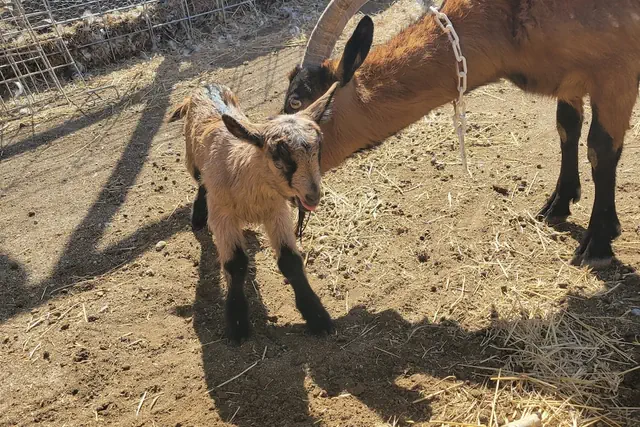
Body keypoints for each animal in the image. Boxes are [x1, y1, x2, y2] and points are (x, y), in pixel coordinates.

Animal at [167, 81, 338, 342]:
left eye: (319, 149)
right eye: (279, 155)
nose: (313, 196)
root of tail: (206, 85)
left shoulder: (277, 212)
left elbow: (290, 262)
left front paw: (317, 316)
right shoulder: (222, 216)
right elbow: (235, 264)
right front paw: (237, 324)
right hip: (192, 158)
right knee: (201, 182)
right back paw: (197, 217)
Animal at [282, 0, 640, 269]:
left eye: (296, 101)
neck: (507, 21)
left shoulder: (617, 72)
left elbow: (601, 150)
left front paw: (598, 243)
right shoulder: (568, 77)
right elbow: (566, 127)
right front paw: (558, 205)